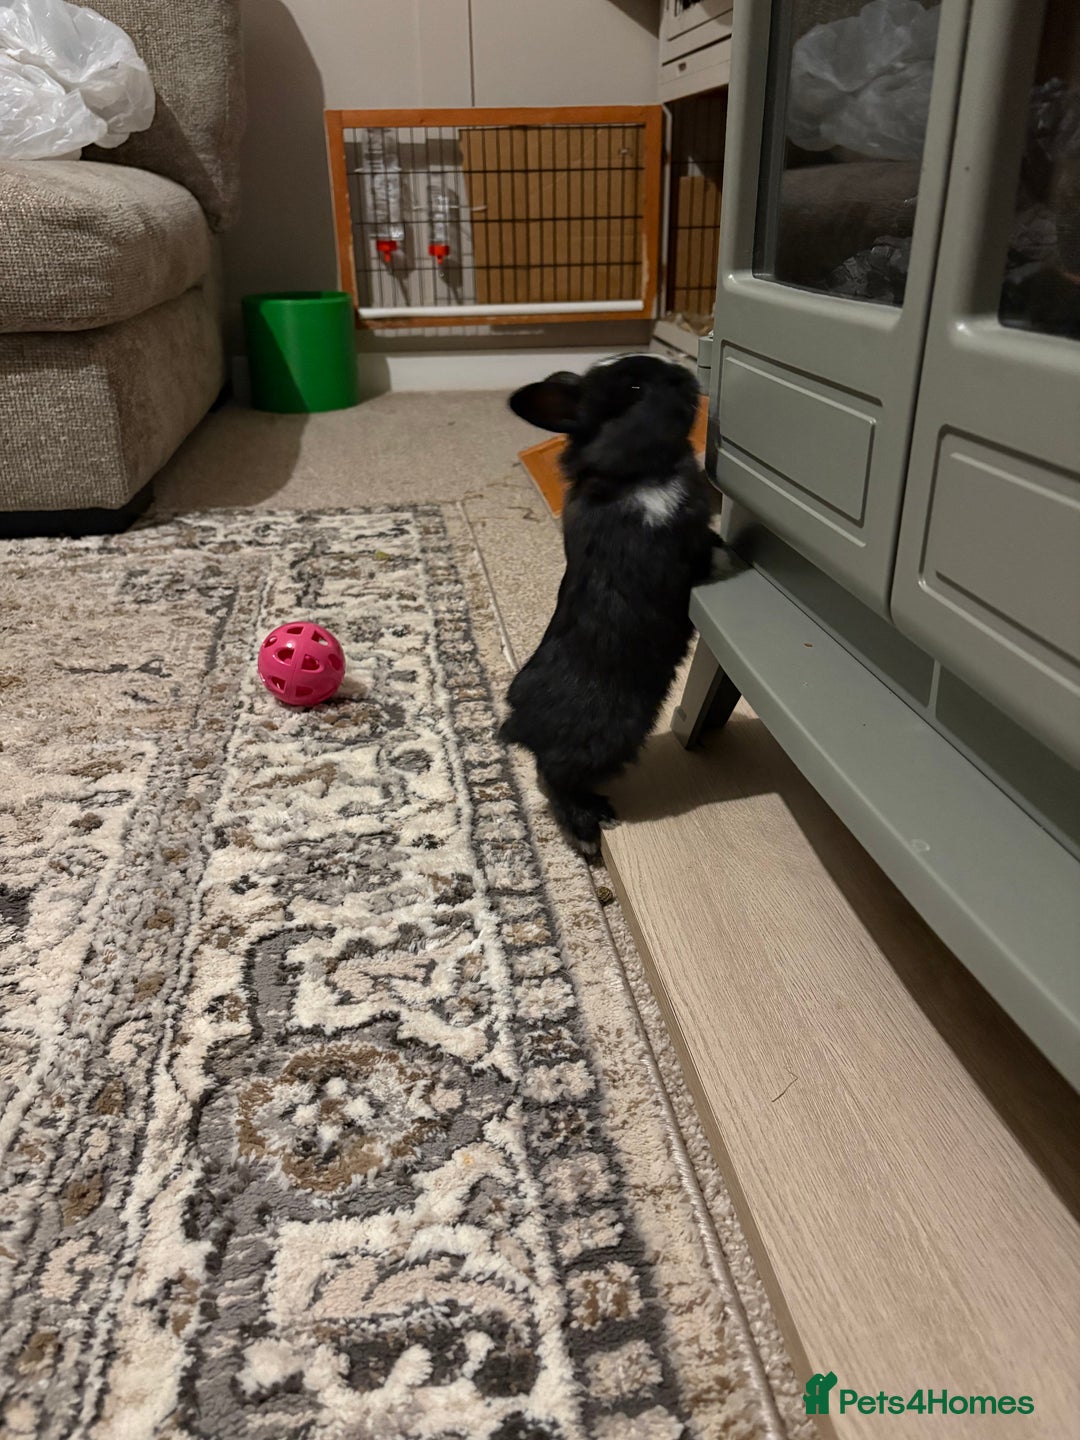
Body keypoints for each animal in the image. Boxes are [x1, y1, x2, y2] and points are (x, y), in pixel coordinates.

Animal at [499, 353, 716, 856]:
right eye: (635, 388)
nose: (687, 375)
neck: (630, 474)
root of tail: (521, 726)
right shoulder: (679, 543)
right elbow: (709, 551)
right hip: (609, 738)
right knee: (555, 781)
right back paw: (592, 830)